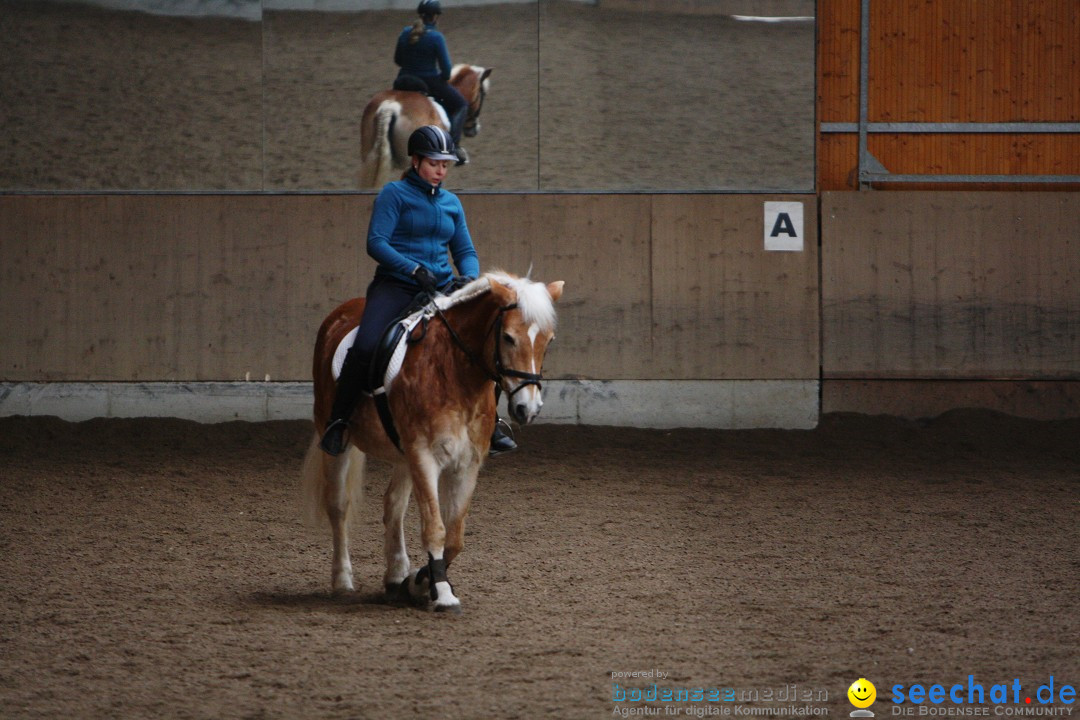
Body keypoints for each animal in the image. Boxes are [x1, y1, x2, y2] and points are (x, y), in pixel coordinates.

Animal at [300, 273, 561, 613]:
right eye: (507, 337)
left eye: (549, 340)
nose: (527, 409)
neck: (455, 373)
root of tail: (340, 312)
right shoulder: (425, 456)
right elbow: (435, 529)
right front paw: (442, 593)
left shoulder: (467, 464)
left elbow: (454, 537)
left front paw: (419, 581)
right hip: (339, 439)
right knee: (338, 504)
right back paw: (342, 579)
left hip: (403, 455)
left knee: (393, 505)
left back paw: (396, 575)